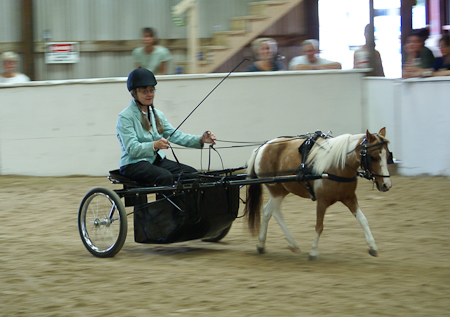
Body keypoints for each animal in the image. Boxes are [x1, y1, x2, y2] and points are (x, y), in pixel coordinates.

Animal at [244, 127, 392, 258]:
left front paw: (372, 247)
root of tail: (263, 147)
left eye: (388, 156)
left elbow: (363, 220)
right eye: (373, 157)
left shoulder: (349, 198)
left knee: (268, 211)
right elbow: (319, 226)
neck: (338, 164)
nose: (387, 185)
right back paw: (285, 243)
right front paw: (314, 252)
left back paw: (267, 245)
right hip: (276, 190)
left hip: (283, 189)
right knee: (274, 212)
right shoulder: (322, 201)